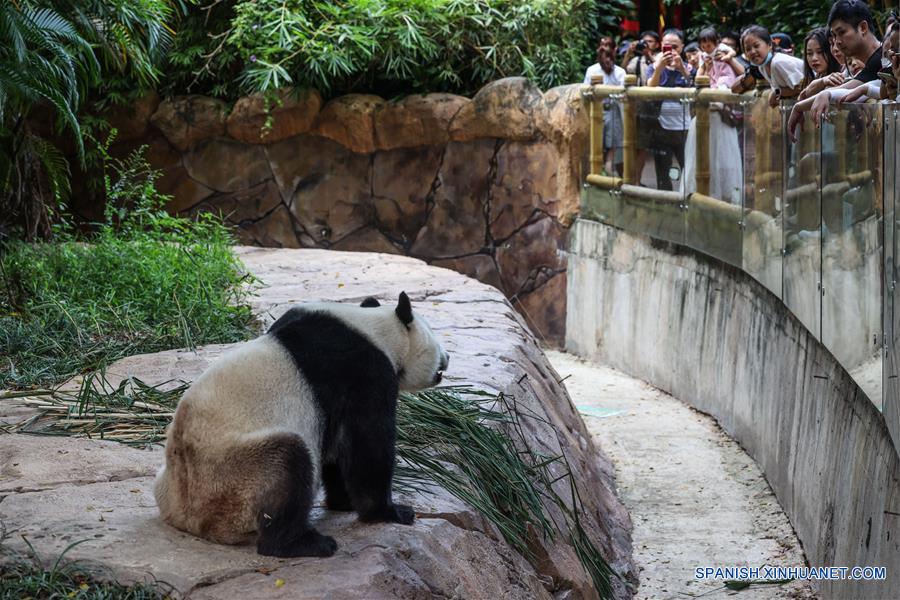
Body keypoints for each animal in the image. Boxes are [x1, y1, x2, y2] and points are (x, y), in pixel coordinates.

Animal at [153, 292, 449, 558]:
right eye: (436, 339)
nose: (447, 357)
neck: (374, 329)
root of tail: (190, 520)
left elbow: (336, 448)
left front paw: (344, 502)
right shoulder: (364, 373)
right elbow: (367, 442)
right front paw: (389, 512)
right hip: (234, 474)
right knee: (287, 463)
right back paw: (304, 544)